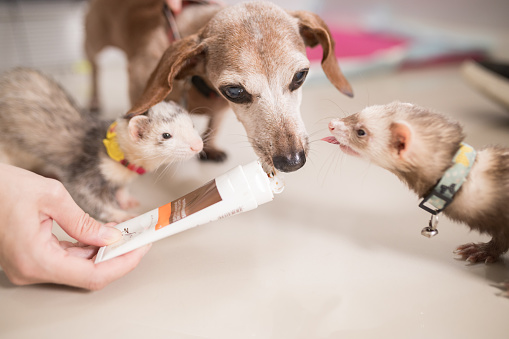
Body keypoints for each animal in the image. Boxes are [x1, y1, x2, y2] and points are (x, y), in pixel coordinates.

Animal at [84, 0, 354, 173]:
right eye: (235, 91)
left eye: (300, 76)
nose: (292, 161)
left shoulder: (221, 110)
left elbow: (214, 126)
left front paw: (210, 148)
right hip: (94, 42)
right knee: (94, 69)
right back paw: (93, 101)